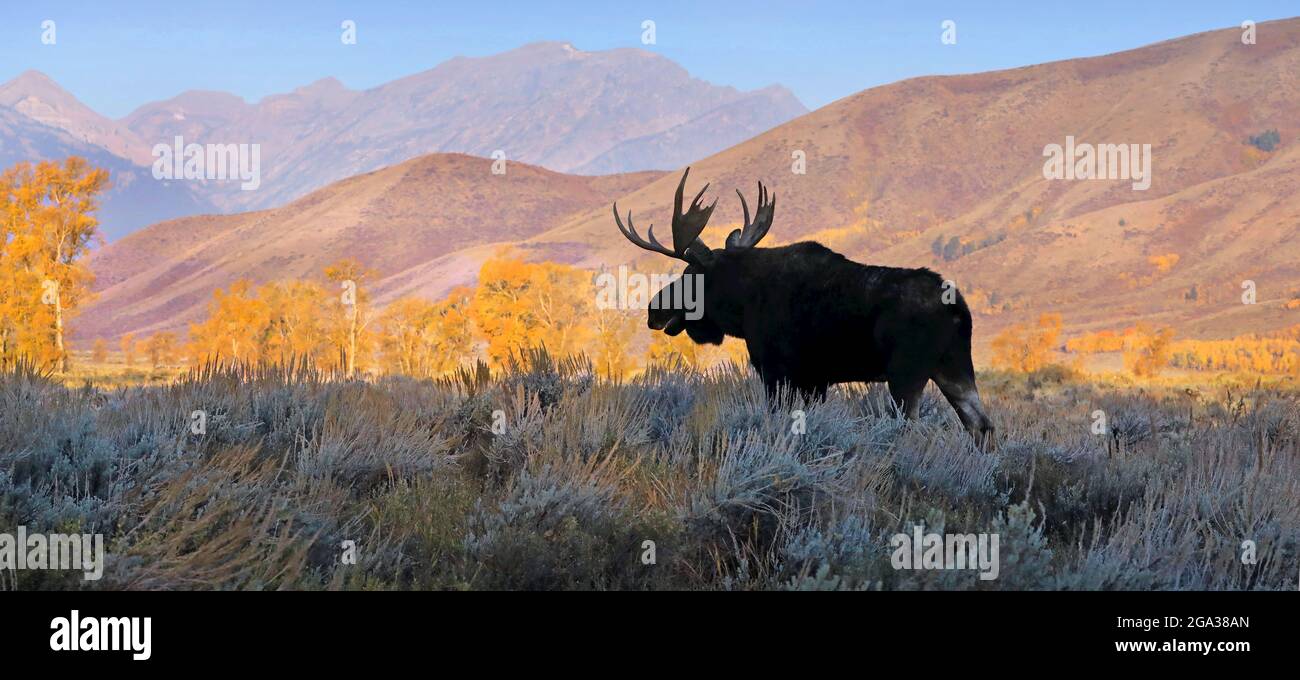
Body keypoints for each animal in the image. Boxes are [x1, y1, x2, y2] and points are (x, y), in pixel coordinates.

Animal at [613, 169, 987, 442]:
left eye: (689, 274)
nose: (654, 310)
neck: (743, 308)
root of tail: (958, 309)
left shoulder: (776, 369)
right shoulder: (815, 379)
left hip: (907, 373)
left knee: (911, 428)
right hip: (954, 366)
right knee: (980, 424)